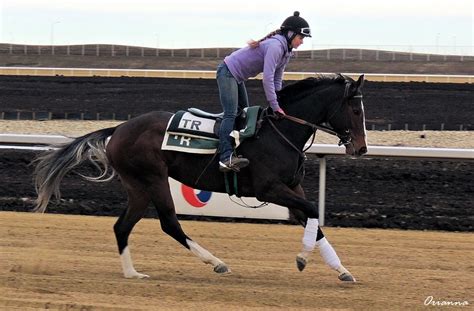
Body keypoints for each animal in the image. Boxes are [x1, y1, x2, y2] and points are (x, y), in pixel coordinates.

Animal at [33, 73, 368, 282]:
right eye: (355, 110)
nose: (361, 148)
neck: (280, 132)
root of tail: (118, 129)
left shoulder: (291, 186)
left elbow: (312, 218)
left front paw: (342, 270)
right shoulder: (267, 188)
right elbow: (311, 211)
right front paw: (302, 259)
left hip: (138, 187)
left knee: (122, 226)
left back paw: (132, 273)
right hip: (153, 179)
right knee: (169, 222)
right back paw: (216, 262)